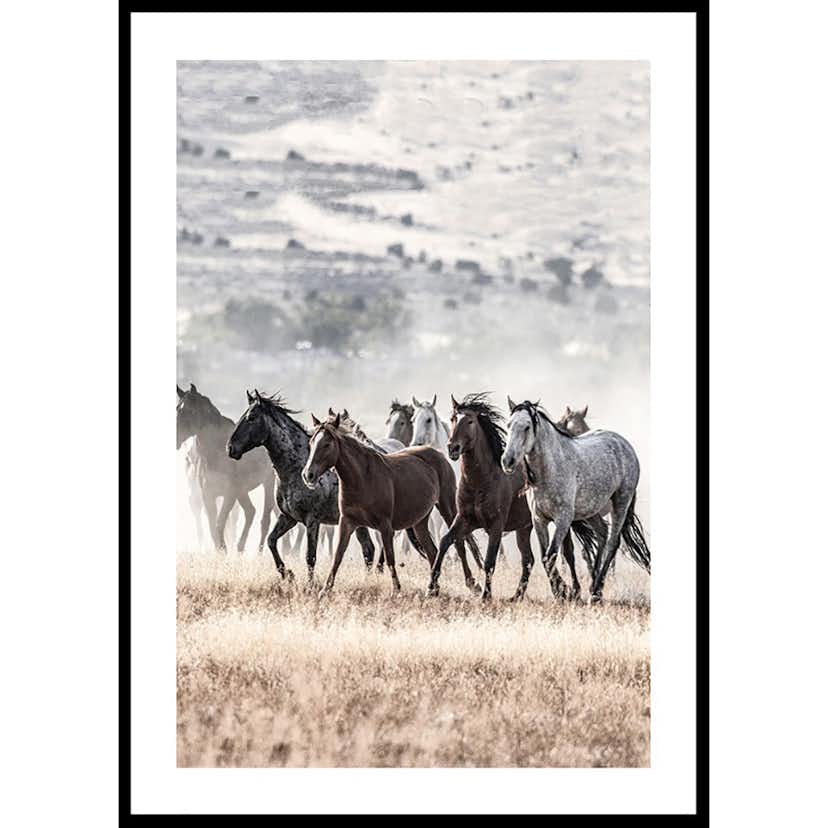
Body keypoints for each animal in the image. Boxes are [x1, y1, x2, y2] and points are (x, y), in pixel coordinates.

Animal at [176, 384, 276, 553]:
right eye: (177, 408)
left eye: (190, 411)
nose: (176, 439)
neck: (216, 454)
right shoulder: (208, 495)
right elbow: (212, 527)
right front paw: (221, 552)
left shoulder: (230, 494)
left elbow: (219, 523)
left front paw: (223, 550)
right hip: (242, 491)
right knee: (250, 511)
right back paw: (240, 548)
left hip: (268, 482)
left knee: (265, 519)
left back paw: (258, 552)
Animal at [226, 391, 377, 583]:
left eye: (251, 417)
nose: (230, 448)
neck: (297, 468)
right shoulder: (288, 517)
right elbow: (271, 541)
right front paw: (287, 574)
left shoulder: (312, 520)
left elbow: (310, 556)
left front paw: (310, 585)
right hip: (358, 523)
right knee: (368, 549)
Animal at [302, 412, 480, 595]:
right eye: (311, 443)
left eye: (327, 444)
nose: (308, 475)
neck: (363, 478)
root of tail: (439, 455)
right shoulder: (347, 523)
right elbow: (338, 556)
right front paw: (325, 589)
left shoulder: (385, 525)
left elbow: (389, 558)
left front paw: (396, 590)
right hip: (420, 522)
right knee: (432, 551)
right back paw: (433, 589)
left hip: (447, 507)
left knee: (459, 543)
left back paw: (472, 584)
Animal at [427, 393, 536, 601]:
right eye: (453, 418)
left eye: (470, 420)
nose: (453, 448)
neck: (481, 481)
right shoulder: (464, 519)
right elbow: (445, 542)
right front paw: (431, 587)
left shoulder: (496, 525)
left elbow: (489, 561)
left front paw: (486, 596)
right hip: (524, 529)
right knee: (528, 560)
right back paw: (516, 597)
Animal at [501, 399, 649, 602]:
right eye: (509, 425)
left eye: (527, 427)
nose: (507, 460)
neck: (551, 468)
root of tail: (624, 444)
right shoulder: (539, 520)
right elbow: (546, 557)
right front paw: (563, 592)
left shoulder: (563, 520)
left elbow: (552, 555)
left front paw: (564, 593)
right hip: (591, 510)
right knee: (602, 534)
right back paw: (594, 585)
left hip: (620, 503)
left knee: (612, 542)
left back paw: (596, 591)